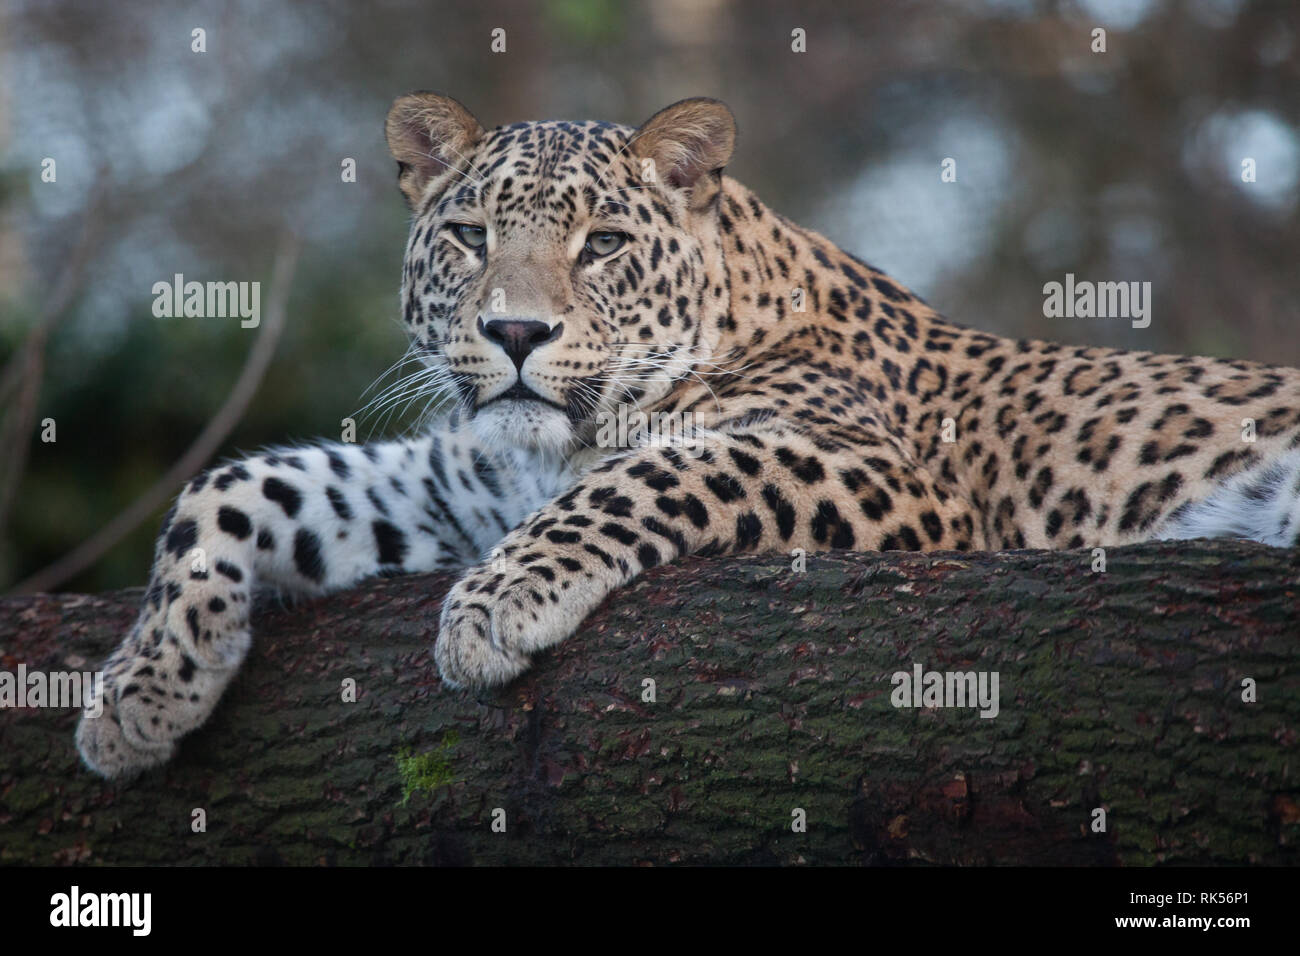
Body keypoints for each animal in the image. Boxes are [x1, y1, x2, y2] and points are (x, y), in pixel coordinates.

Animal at [76, 93, 1300, 778]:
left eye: (606, 242)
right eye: (469, 236)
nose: (514, 331)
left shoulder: (888, 478)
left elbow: (649, 473)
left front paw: (490, 607)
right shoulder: (446, 487)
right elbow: (236, 486)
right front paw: (141, 689)